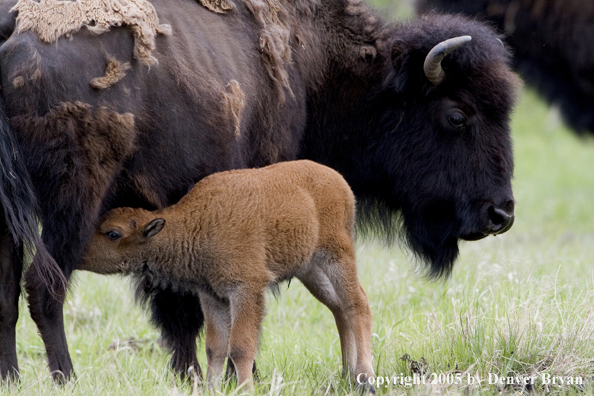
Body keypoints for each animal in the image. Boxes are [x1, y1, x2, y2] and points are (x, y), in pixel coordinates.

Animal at [81, 159, 372, 392]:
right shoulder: (212, 297)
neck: (196, 224)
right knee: (339, 308)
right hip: (311, 271)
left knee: (357, 304)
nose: (79, 251)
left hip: (337, 257)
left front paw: (245, 389)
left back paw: (365, 378)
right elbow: (215, 347)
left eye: (113, 233)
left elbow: (240, 347)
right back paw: (347, 374)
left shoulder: (245, 291)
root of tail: (338, 181)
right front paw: (212, 388)